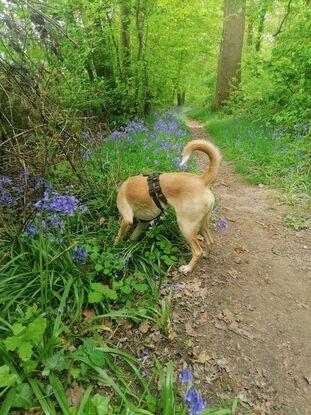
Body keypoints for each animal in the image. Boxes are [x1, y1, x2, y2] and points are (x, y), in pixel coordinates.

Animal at [114, 140, 222, 274]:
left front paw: (115, 248)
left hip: (185, 225)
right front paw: (129, 246)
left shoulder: (127, 219)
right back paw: (206, 255)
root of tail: (202, 180)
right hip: (202, 222)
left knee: (198, 251)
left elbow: (118, 237)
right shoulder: (143, 222)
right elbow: (133, 236)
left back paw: (187, 268)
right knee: (209, 240)